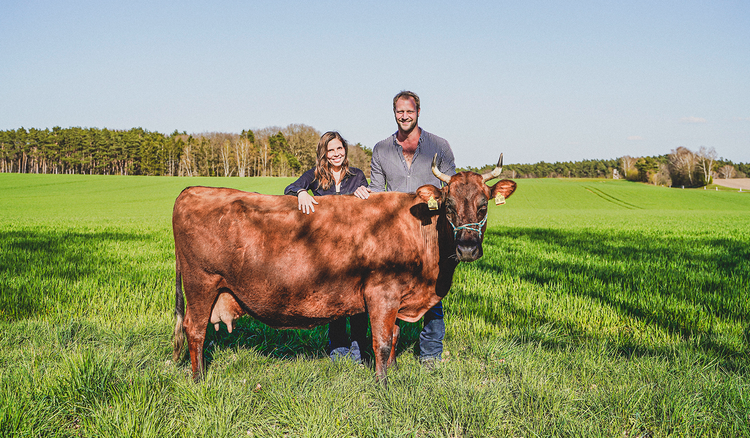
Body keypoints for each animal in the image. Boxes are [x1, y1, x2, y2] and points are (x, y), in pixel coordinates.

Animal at [173, 153, 516, 384]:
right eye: (448, 207)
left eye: (483, 205)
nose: (467, 248)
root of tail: (192, 189)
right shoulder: (381, 294)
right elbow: (382, 341)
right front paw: (383, 384)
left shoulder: (395, 298)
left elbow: (392, 335)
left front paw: (393, 372)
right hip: (201, 283)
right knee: (195, 329)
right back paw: (198, 379)